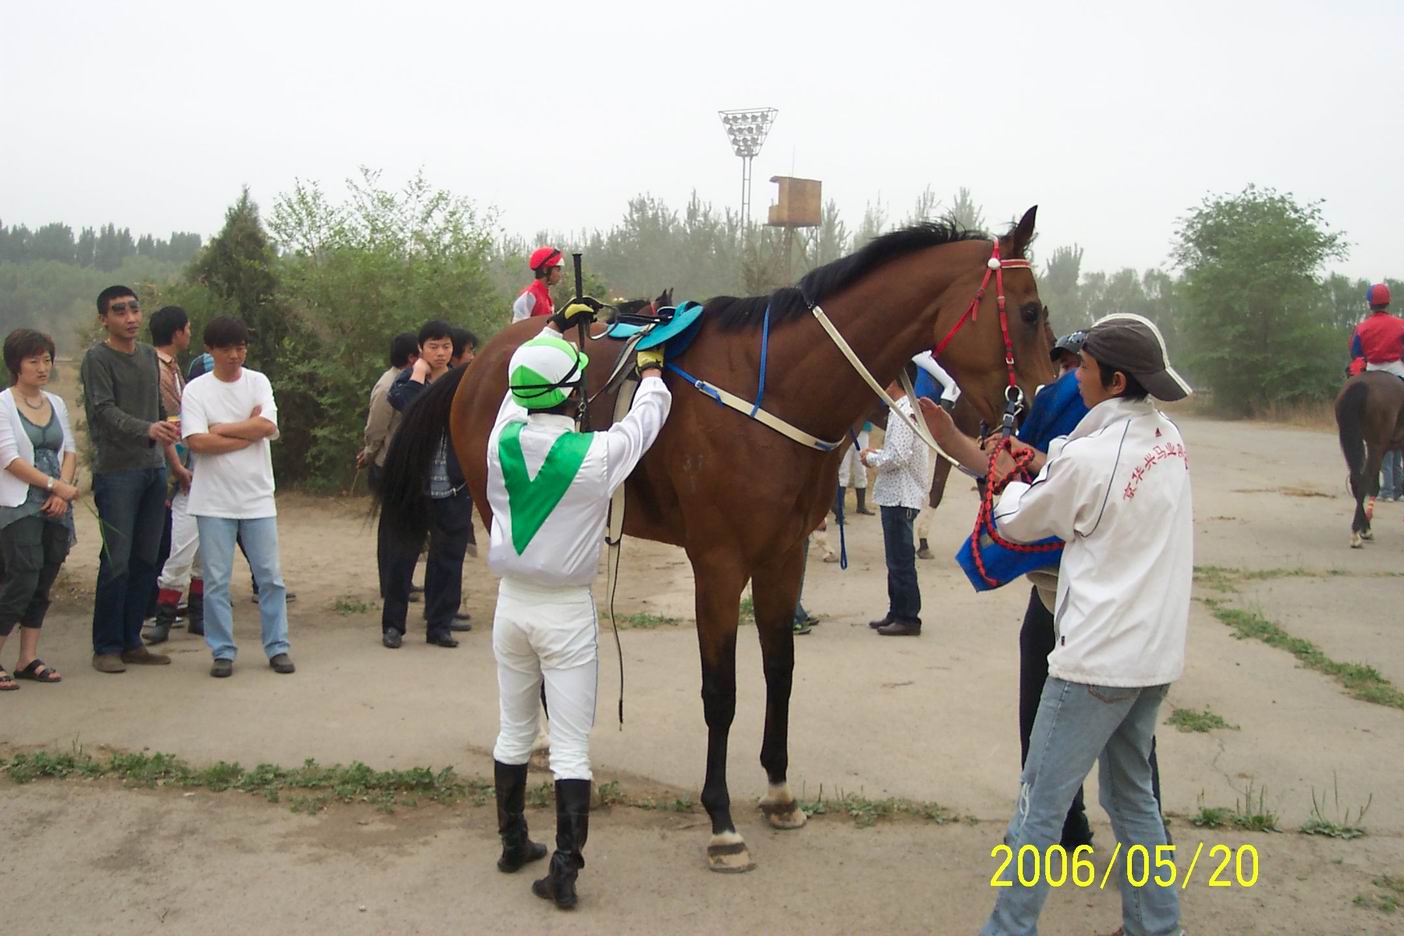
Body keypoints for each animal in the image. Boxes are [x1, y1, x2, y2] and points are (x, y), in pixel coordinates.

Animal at [384, 209, 1055, 875]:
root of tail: (478, 364)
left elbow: (780, 671)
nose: (1036, 410)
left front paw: (780, 793)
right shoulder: (719, 563)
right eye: (1029, 311)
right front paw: (722, 822)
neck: (776, 388)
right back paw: (547, 740)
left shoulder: (784, 555)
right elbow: (721, 692)